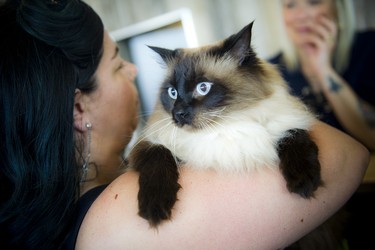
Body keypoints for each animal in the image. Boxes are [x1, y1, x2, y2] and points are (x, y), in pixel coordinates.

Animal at [128, 21, 322, 228]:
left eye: (203, 88)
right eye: (173, 92)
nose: (178, 114)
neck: (224, 127)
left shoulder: (288, 122)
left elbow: (294, 136)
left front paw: (304, 181)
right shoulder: (149, 143)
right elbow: (159, 155)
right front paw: (154, 206)